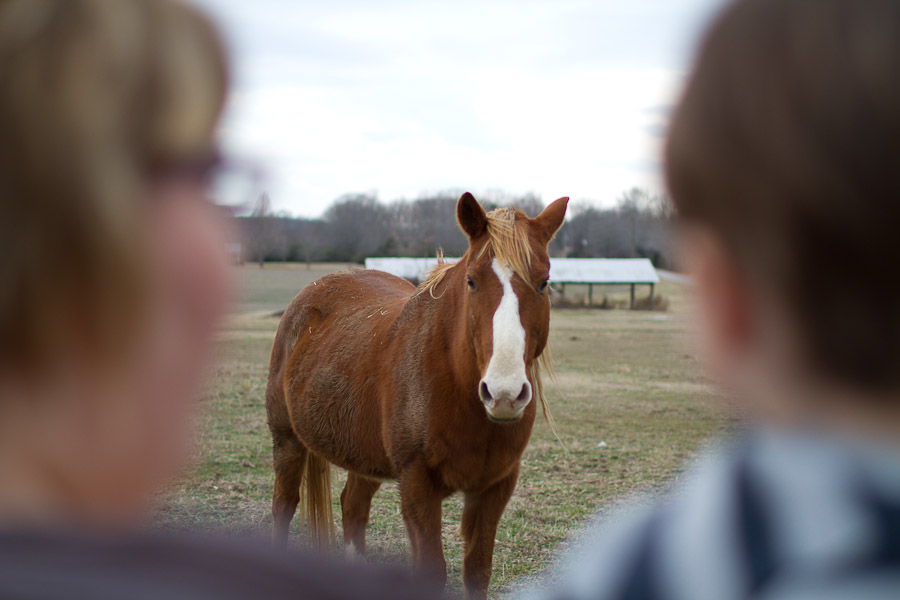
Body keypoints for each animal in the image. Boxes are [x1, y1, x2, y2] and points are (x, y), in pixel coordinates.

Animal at [264, 193, 568, 600]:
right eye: (471, 281)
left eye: (544, 281)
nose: (503, 393)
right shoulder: (416, 483)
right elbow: (431, 571)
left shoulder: (495, 487)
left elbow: (477, 570)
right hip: (287, 440)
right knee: (284, 504)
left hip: (363, 453)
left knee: (352, 507)